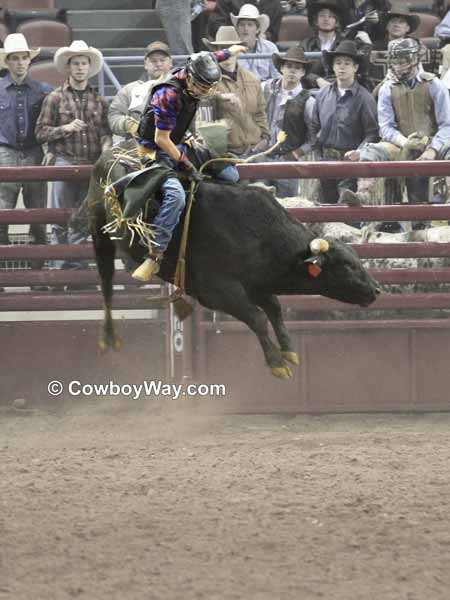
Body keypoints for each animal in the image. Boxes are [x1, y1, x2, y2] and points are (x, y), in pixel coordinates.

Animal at [87, 149, 380, 378]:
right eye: (347, 266)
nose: (376, 289)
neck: (259, 234)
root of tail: (107, 155)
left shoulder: (257, 284)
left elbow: (274, 309)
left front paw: (289, 352)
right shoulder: (219, 292)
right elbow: (257, 317)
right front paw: (277, 363)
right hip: (98, 230)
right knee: (106, 283)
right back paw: (110, 334)